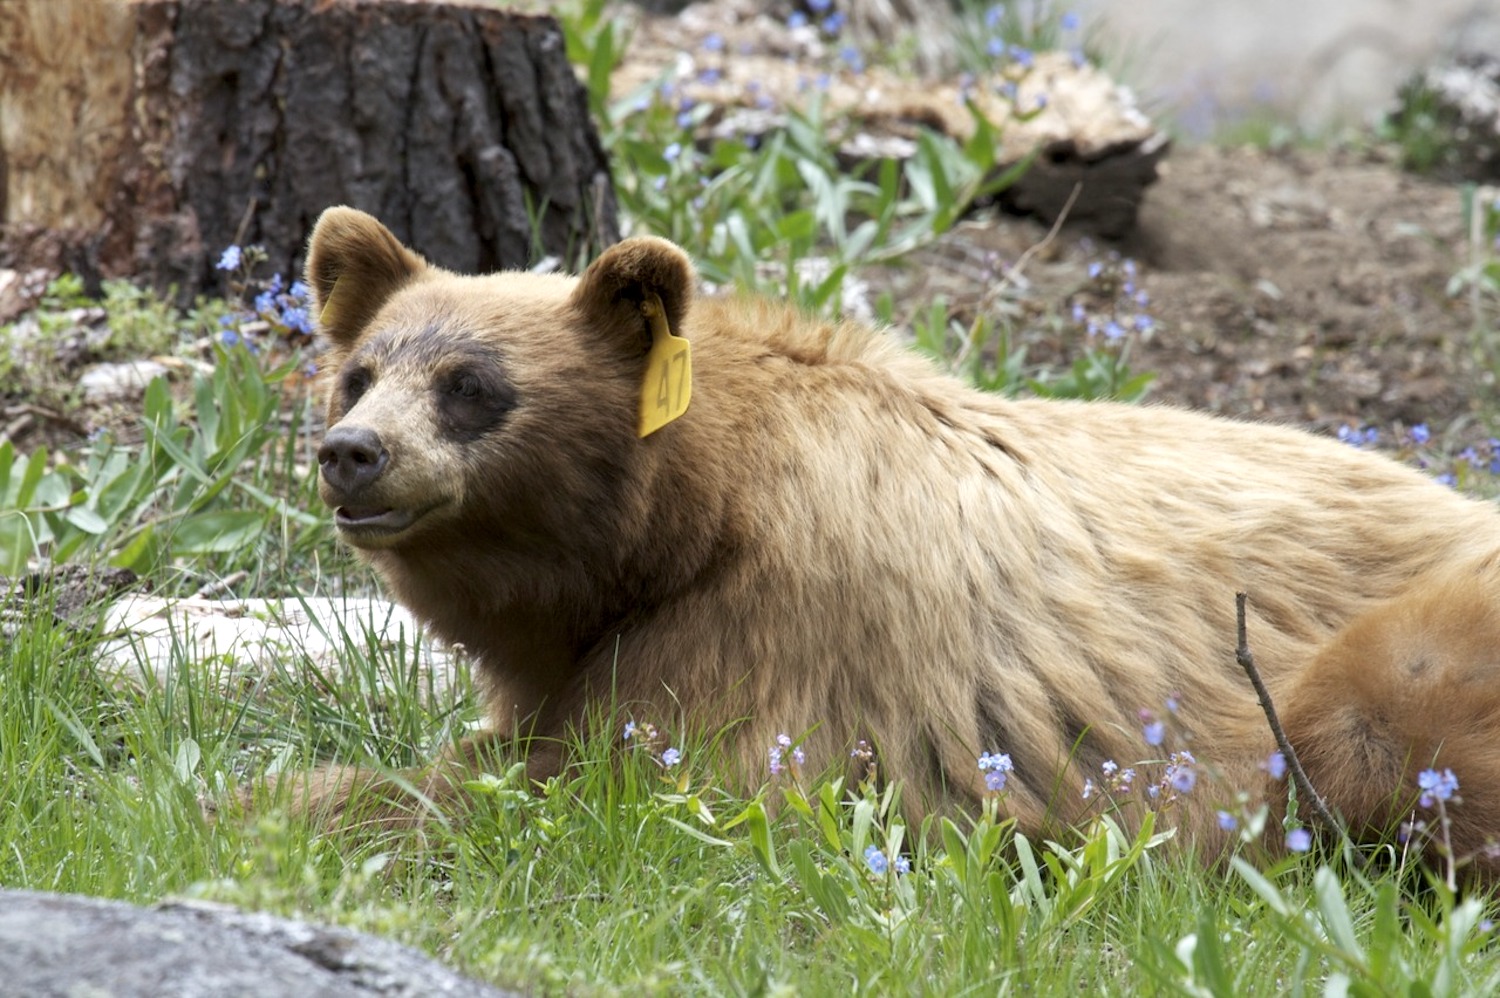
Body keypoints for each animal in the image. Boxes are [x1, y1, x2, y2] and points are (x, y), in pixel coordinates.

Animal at [290, 204, 1500, 872]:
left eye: (470, 385)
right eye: (359, 372)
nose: (352, 452)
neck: (694, 512)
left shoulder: (777, 631)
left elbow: (633, 787)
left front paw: (293, 802)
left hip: (1403, 654)